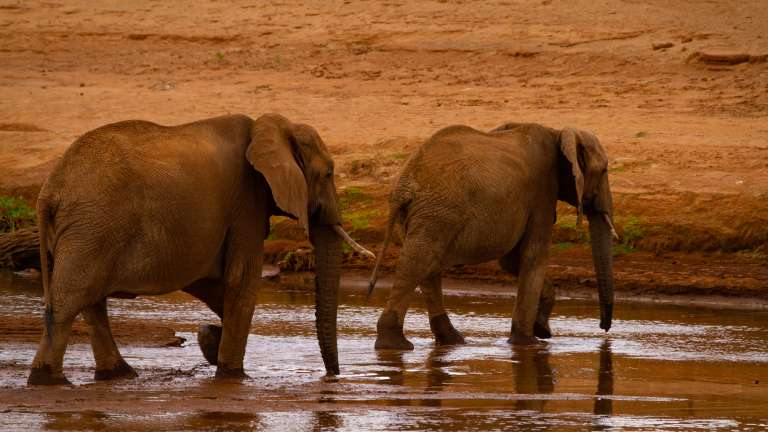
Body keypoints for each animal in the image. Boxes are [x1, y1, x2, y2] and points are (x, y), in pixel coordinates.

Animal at [28, 113, 374, 385]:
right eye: (328, 173)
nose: (332, 377)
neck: (272, 127)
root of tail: (49, 191)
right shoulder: (246, 202)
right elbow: (240, 282)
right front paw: (232, 375)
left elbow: (212, 283)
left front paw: (209, 338)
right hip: (93, 226)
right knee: (70, 302)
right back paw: (49, 382)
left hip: (87, 232)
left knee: (90, 301)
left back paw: (119, 375)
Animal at [368, 122, 617, 349]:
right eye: (604, 171)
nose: (604, 329)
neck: (557, 132)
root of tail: (403, 184)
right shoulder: (542, 192)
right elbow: (533, 256)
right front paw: (528, 343)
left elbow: (513, 261)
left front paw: (541, 329)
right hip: (438, 211)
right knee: (418, 263)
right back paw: (395, 345)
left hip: (425, 214)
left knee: (427, 265)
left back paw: (452, 341)